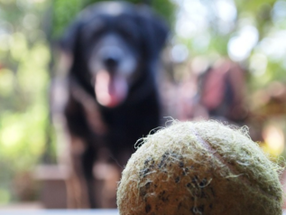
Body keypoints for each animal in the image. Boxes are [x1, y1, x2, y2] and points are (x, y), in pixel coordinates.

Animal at [50, 1, 169, 208]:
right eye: (92, 36)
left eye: (129, 34)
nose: (111, 59)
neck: (111, 112)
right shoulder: (80, 149)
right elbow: (86, 193)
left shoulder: (132, 142)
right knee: (73, 185)